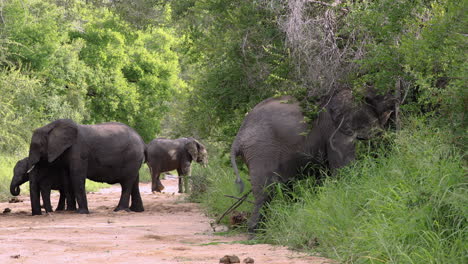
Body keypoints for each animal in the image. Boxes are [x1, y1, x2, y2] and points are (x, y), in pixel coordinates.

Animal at [230, 89, 394, 233]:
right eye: (374, 102)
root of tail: (238, 138)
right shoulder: (336, 131)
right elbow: (343, 167)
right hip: (261, 150)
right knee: (266, 191)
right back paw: (255, 231)